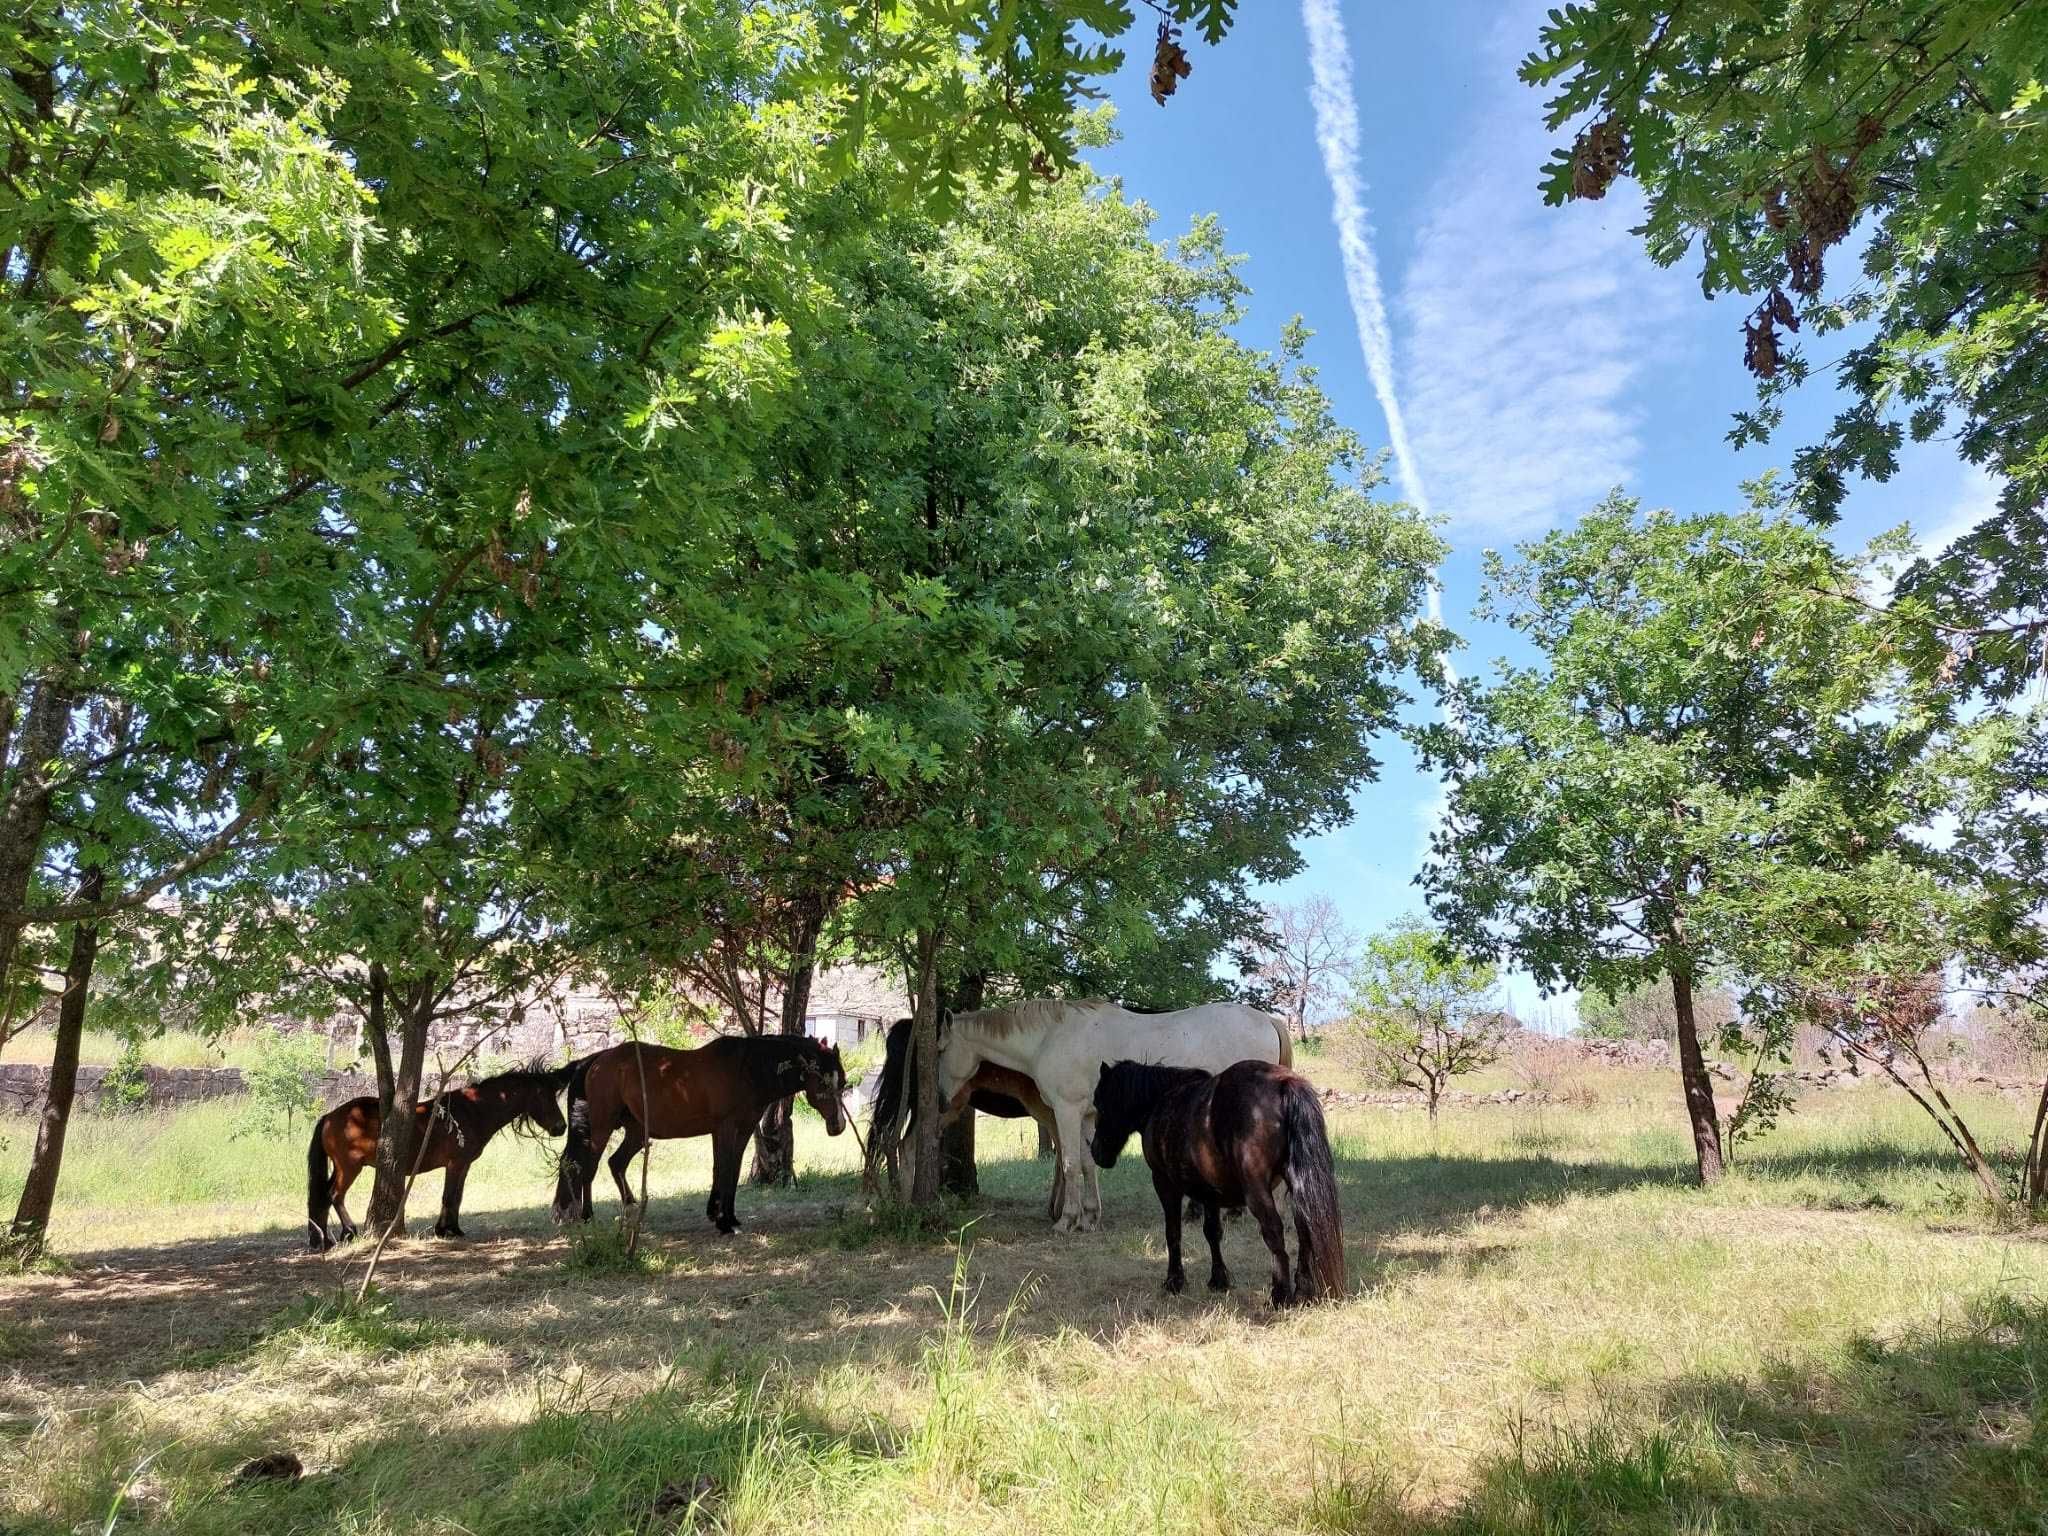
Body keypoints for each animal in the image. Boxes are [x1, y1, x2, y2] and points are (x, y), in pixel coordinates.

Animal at [299, 1064, 569, 1253]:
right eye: (543, 1095)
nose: (561, 1127)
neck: (473, 1110)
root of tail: (330, 1116)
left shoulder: (463, 1166)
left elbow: (456, 1197)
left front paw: (452, 1229)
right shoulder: (455, 1163)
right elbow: (449, 1196)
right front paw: (445, 1230)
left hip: (340, 1167)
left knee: (322, 1197)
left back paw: (324, 1239)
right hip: (349, 1167)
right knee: (334, 1195)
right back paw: (348, 1231)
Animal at [548, 1036, 843, 1236]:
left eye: (843, 1082)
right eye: (823, 1081)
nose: (838, 1126)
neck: (746, 1069)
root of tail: (597, 1060)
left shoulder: (741, 1131)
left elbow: (727, 1170)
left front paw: (725, 1215)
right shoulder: (726, 1128)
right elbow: (725, 1169)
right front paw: (724, 1222)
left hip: (636, 1132)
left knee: (615, 1163)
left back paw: (630, 1209)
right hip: (602, 1127)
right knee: (589, 1167)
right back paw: (587, 1215)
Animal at [937, 999, 1286, 1236]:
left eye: (940, 1050)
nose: (940, 1100)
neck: (1051, 1037)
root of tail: (1267, 1020)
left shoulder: (1066, 1111)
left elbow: (1070, 1165)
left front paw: (1067, 1220)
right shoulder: (1086, 1116)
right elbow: (1087, 1164)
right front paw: (1090, 1217)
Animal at [1089, 1056, 1343, 1310]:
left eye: (1099, 1103)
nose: (1096, 1152)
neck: (1161, 1102)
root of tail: (1282, 1082)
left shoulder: (1164, 1183)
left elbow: (1173, 1232)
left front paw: (1174, 1281)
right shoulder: (1210, 1192)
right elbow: (1212, 1232)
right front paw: (1218, 1280)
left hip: (1256, 1191)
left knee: (1274, 1231)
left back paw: (1280, 1296)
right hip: (1296, 1182)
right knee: (1304, 1226)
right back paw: (1302, 1291)